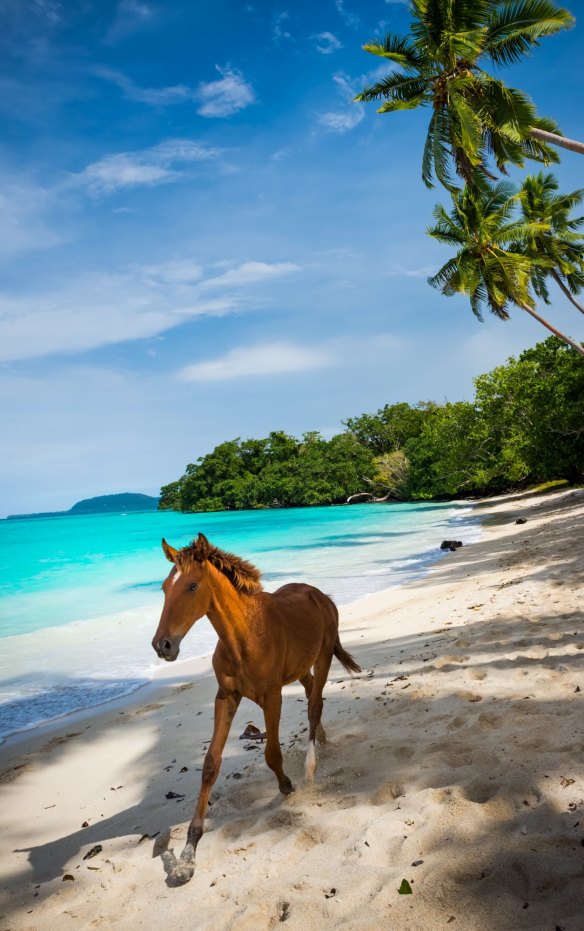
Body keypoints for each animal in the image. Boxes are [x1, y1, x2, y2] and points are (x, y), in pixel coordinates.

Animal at [151, 536, 360, 884]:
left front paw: (287, 786)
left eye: (192, 586)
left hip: (323, 657)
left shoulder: (271, 696)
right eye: (165, 587)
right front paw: (187, 857)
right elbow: (210, 765)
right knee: (311, 693)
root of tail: (321, 595)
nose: (162, 645)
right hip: (301, 666)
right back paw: (323, 739)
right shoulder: (225, 698)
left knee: (314, 704)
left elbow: (272, 753)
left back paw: (310, 767)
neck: (243, 638)